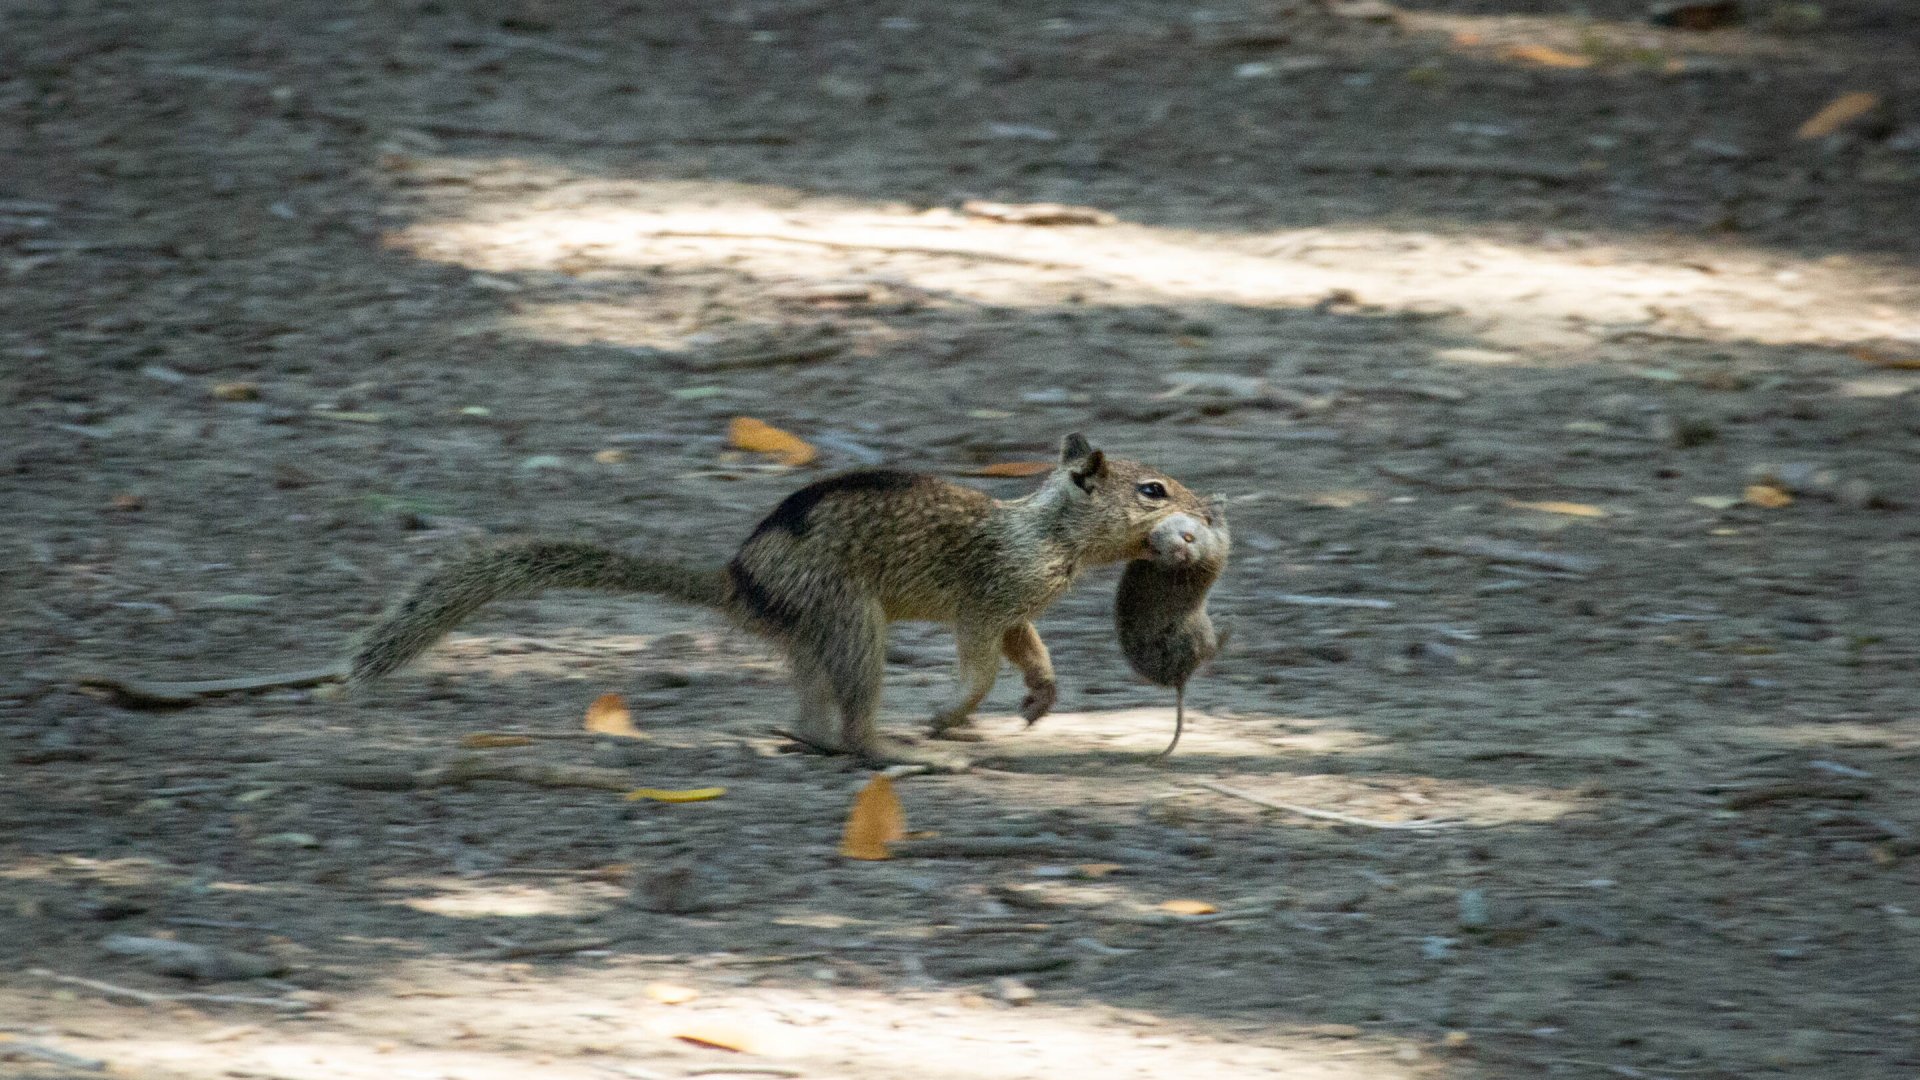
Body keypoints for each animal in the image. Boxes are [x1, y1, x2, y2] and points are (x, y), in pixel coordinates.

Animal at [349, 428, 1198, 764]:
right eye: (1153, 490)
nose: (1206, 510)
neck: (1047, 531)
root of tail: (736, 582)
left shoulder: (1017, 609)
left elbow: (1032, 651)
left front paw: (1040, 699)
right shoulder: (987, 600)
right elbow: (982, 663)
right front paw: (950, 713)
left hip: (818, 635)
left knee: (813, 714)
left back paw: (809, 738)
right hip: (852, 620)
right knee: (852, 721)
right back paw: (892, 749)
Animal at [1113, 491, 1228, 753]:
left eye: (1188, 537)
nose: (1182, 553)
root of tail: (1179, 679)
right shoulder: (1217, 548)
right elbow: (1223, 531)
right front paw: (1215, 503)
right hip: (1200, 632)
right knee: (1212, 650)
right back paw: (1228, 626)